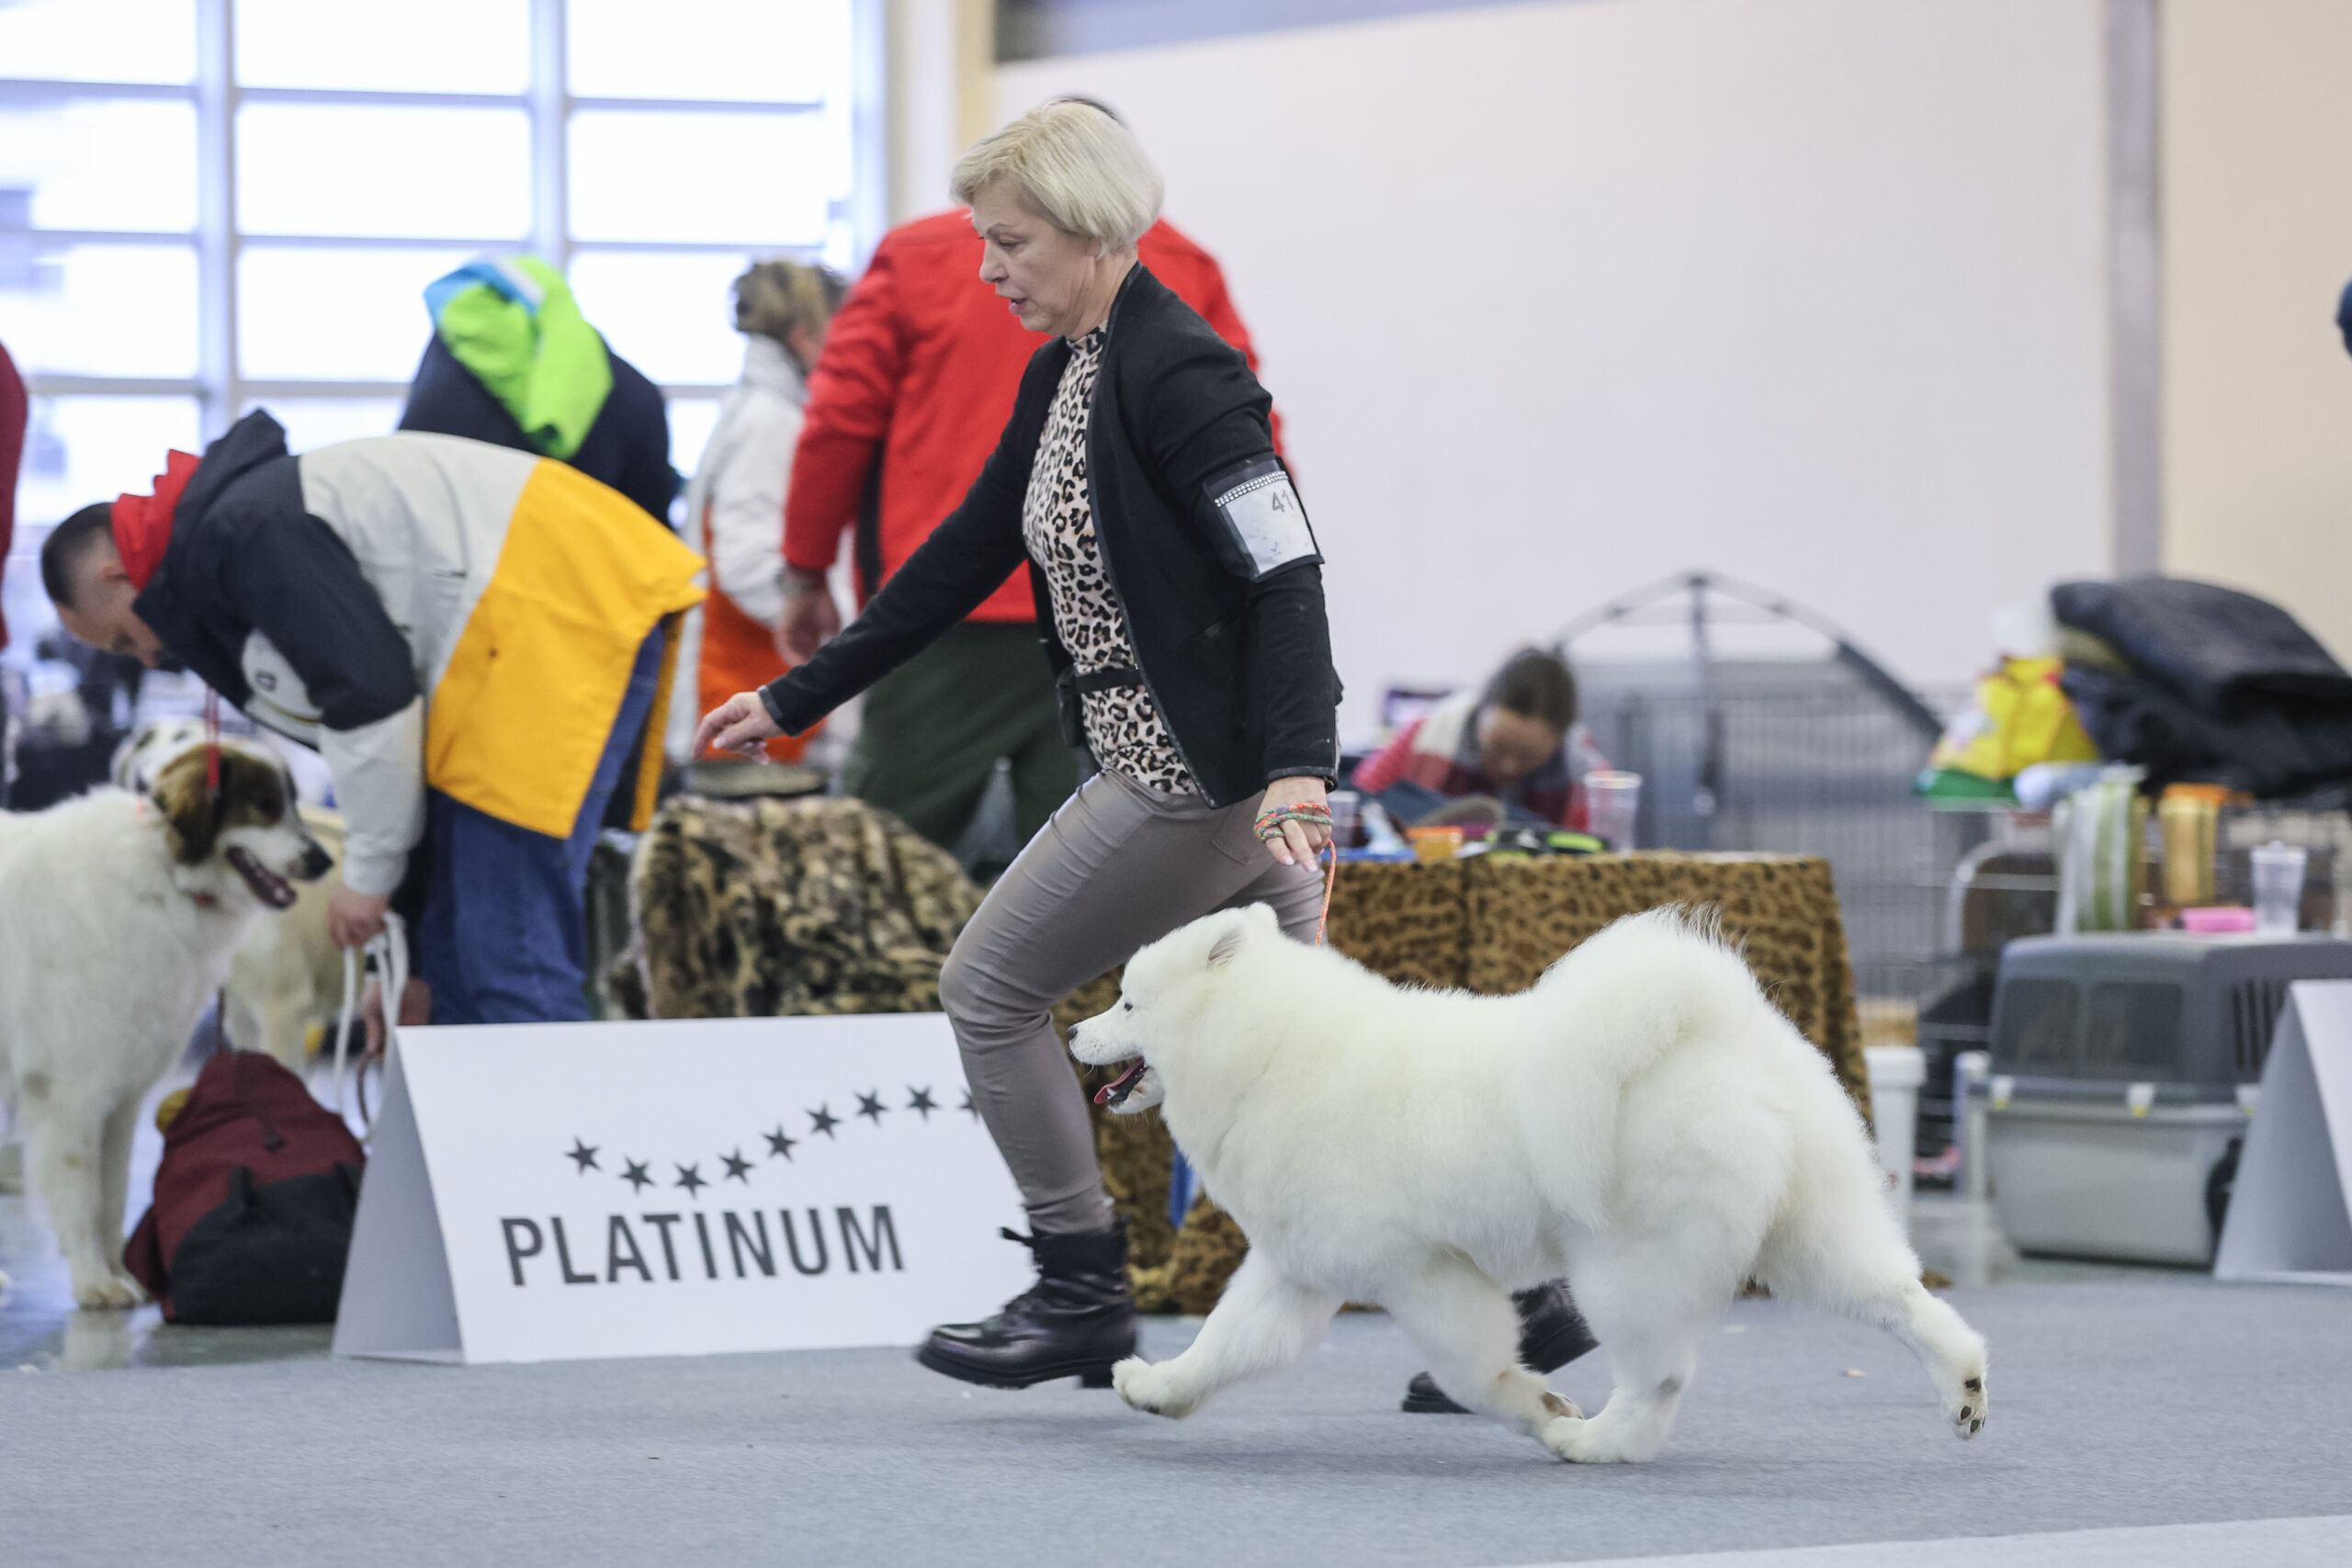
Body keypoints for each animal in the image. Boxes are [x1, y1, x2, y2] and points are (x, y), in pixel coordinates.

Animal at [0, 743, 331, 1307]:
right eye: (265, 806)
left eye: (292, 802)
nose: (324, 861)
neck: (163, 873)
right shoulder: (71, 1094)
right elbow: (81, 1197)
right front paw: (94, 1282)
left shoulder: (119, 1096)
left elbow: (111, 1197)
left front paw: (121, 1274)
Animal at [1068, 904, 1989, 1463]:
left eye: (1127, 1003)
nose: (1074, 1030)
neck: (1269, 1054)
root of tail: (1709, 1029)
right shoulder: (1295, 1270)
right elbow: (1224, 1344)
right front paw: (1155, 1388)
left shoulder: (1424, 1276)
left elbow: (1476, 1375)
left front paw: (1541, 1408)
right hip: (1808, 1232)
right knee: (1903, 1300)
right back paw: (1964, 1388)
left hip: (1625, 1265)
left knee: (1659, 1374)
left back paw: (1600, 1442)